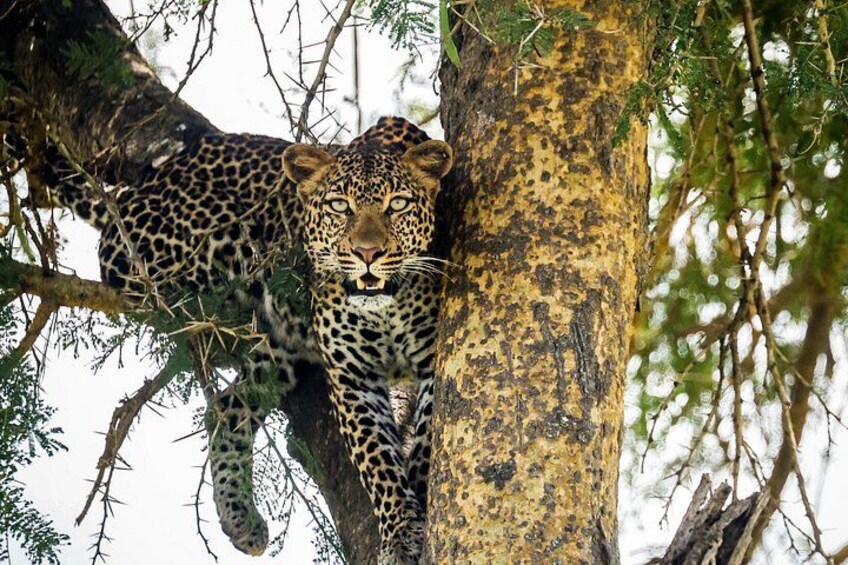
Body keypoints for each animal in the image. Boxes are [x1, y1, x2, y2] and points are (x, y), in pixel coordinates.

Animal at [21, 117, 452, 564]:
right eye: (339, 206)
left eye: (398, 205)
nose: (368, 253)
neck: (385, 307)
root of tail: (137, 190)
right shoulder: (353, 377)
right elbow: (377, 462)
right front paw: (400, 534)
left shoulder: (432, 362)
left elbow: (428, 444)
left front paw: (420, 506)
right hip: (180, 262)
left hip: (275, 354)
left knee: (227, 407)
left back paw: (241, 518)